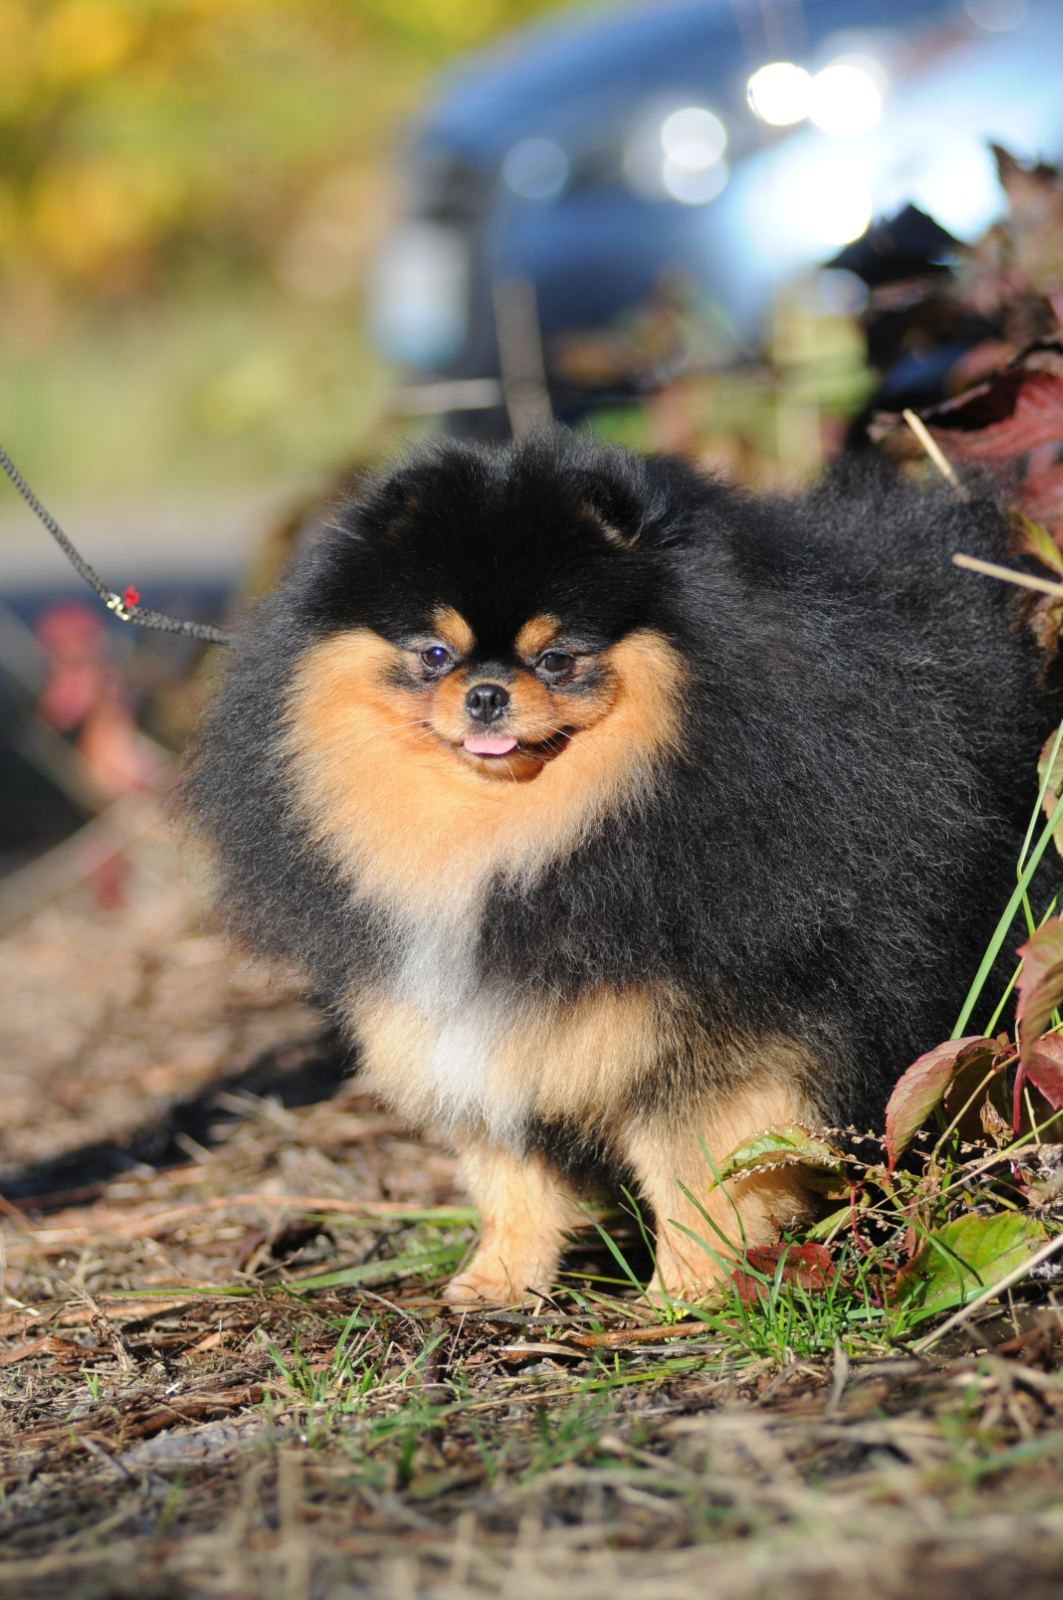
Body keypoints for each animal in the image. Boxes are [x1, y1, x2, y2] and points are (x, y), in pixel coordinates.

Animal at [182, 432, 1056, 1305]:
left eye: (558, 659)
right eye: (433, 655)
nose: (486, 693)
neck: (520, 836)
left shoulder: (714, 1034)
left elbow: (700, 1180)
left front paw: (684, 1298)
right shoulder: (486, 1029)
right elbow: (511, 1175)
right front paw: (497, 1281)